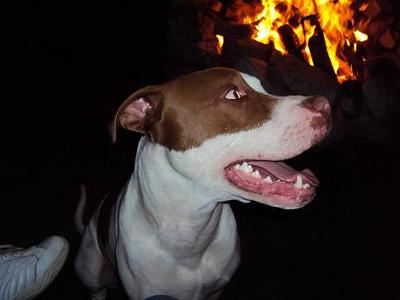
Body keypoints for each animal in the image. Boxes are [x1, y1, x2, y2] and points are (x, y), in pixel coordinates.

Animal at [75, 68, 332, 300]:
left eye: (263, 88)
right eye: (233, 95)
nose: (325, 104)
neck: (195, 231)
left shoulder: (216, 290)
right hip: (90, 269)